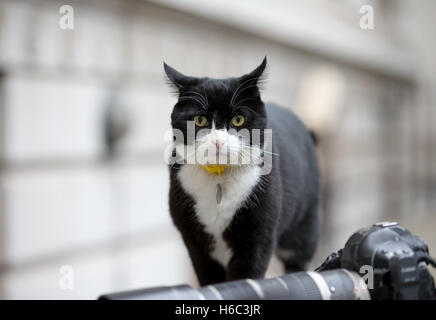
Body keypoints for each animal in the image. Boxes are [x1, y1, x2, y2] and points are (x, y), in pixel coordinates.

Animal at [164, 57, 320, 284]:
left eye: (238, 120)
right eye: (200, 120)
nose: (218, 141)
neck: (218, 177)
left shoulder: (258, 235)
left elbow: (246, 275)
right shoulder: (194, 240)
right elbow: (209, 278)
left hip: (305, 225)